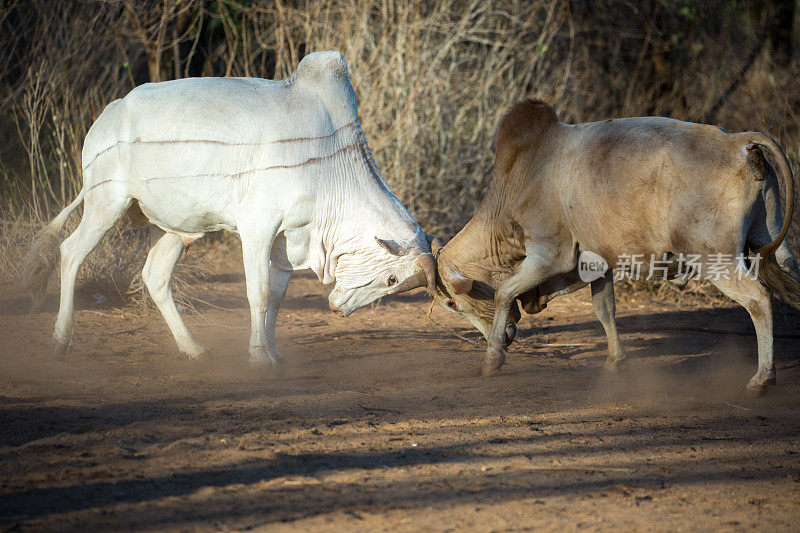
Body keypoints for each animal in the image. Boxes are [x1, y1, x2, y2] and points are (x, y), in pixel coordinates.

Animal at [23, 51, 438, 370]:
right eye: (392, 280)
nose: (339, 310)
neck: (332, 170)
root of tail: (108, 116)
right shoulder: (258, 229)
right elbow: (259, 293)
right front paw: (259, 358)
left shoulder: (286, 243)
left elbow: (277, 298)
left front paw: (275, 353)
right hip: (105, 203)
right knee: (70, 253)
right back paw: (61, 340)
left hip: (173, 228)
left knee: (154, 277)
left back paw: (192, 348)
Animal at [434, 98, 800, 390]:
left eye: (452, 303)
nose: (510, 333)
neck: (524, 175)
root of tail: (737, 141)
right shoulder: (595, 262)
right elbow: (604, 309)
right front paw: (615, 362)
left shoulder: (549, 256)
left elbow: (504, 291)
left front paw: (492, 358)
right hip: (772, 243)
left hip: (715, 258)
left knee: (758, 299)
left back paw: (762, 378)